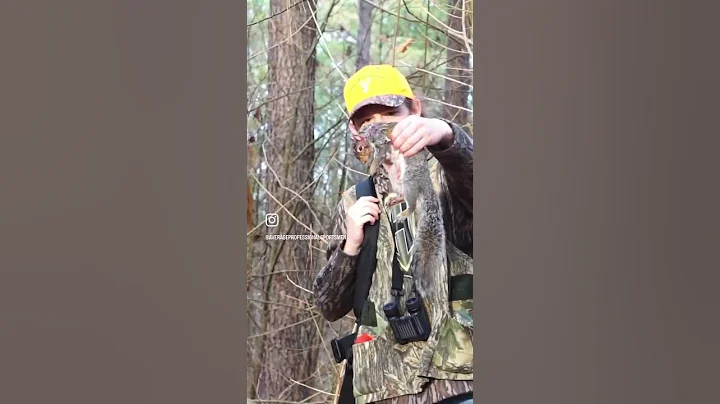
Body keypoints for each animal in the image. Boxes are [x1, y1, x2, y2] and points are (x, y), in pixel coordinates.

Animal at [356, 122, 447, 301]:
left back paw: (404, 213)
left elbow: (378, 157)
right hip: (398, 182)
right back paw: (394, 200)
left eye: (369, 129)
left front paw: (372, 168)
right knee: (402, 196)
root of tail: (425, 184)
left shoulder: (382, 146)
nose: (360, 134)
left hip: (409, 180)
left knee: (412, 205)